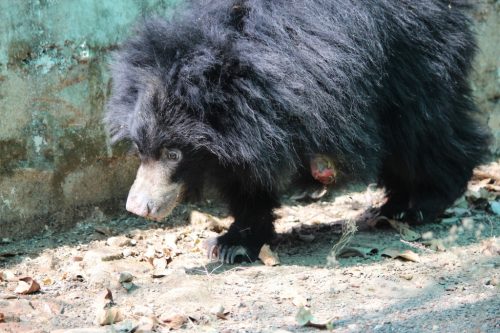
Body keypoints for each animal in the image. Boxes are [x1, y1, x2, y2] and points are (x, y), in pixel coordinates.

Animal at [104, 1, 488, 264]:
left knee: (422, 130)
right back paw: (393, 207)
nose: (138, 208)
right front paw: (233, 244)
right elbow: (247, 182)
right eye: (141, 150)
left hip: (413, 61)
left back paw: (421, 204)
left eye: (173, 153)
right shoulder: (246, 137)